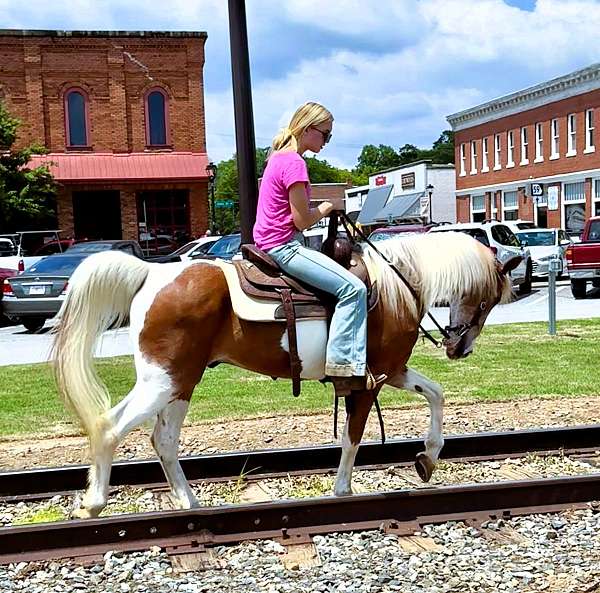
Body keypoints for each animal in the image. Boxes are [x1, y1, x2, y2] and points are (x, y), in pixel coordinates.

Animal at [54, 231, 516, 520]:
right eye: (491, 298)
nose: (460, 347)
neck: (396, 286)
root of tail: (152, 272)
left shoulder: (392, 371)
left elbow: (436, 394)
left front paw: (428, 458)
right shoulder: (371, 380)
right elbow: (352, 438)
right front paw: (343, 492)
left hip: (179, 383)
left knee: (162, 440)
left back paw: (189, 503)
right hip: (163, 381)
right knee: (110, 427)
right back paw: (94, 503)